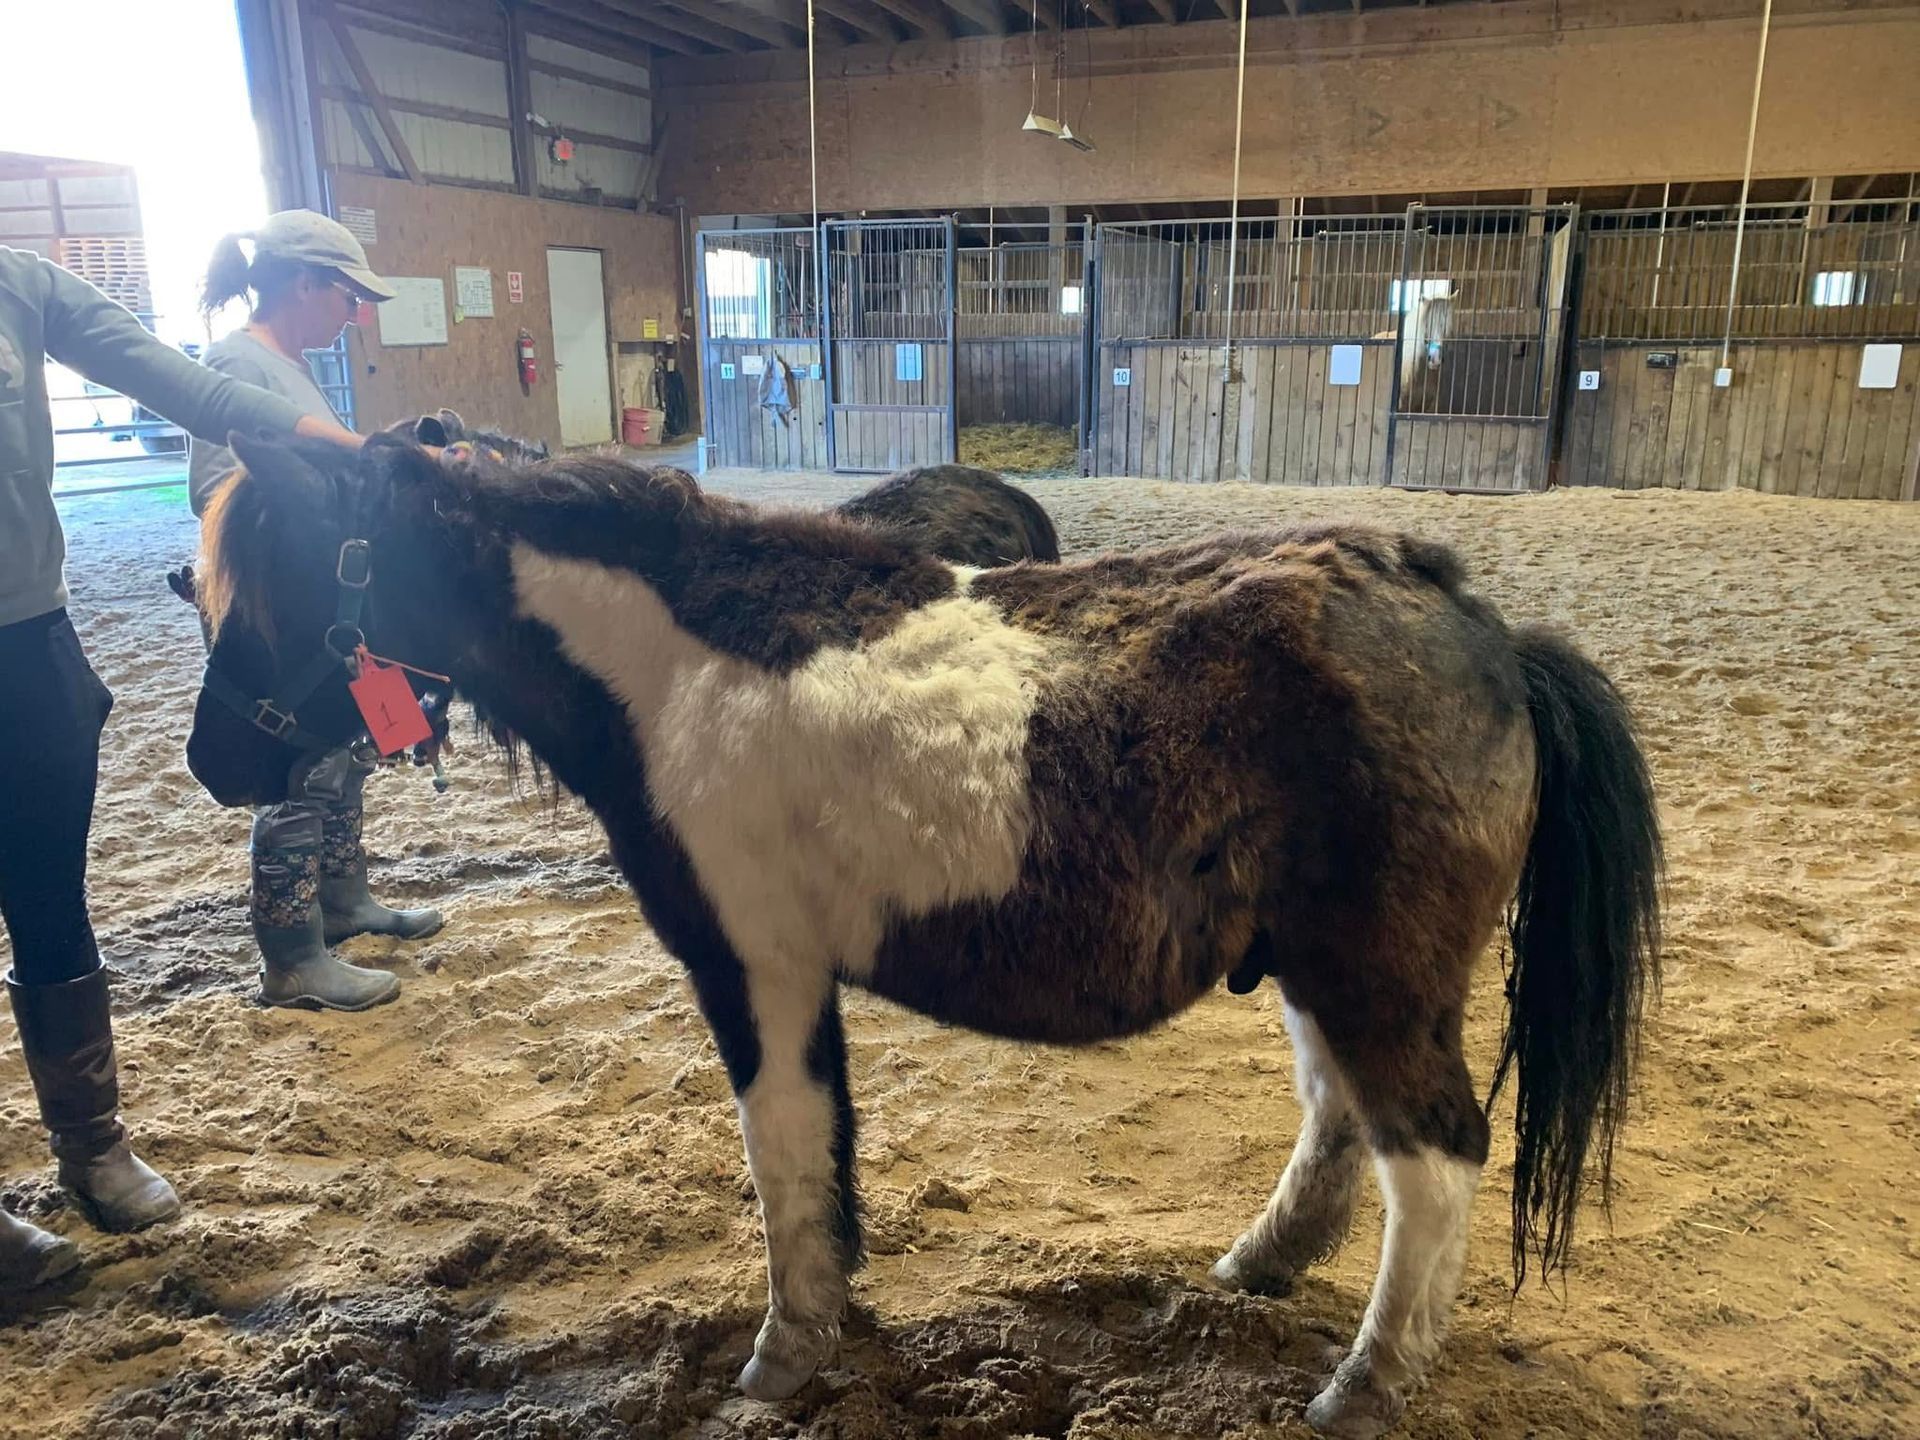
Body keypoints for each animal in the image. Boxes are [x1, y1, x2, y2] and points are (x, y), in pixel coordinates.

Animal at [184, 430, 1660, 1437]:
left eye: (274, 578)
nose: (211, 764)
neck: (677, 665)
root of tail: (1486, 633)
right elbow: (824, 1157)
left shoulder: (756, 970)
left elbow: (785, 1159)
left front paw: (782, 1360)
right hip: (1324, 971)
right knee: (1342, 1122)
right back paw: (1260, 1268)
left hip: (1377, 977)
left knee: (1436, 1158)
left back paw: (1365, 1387)